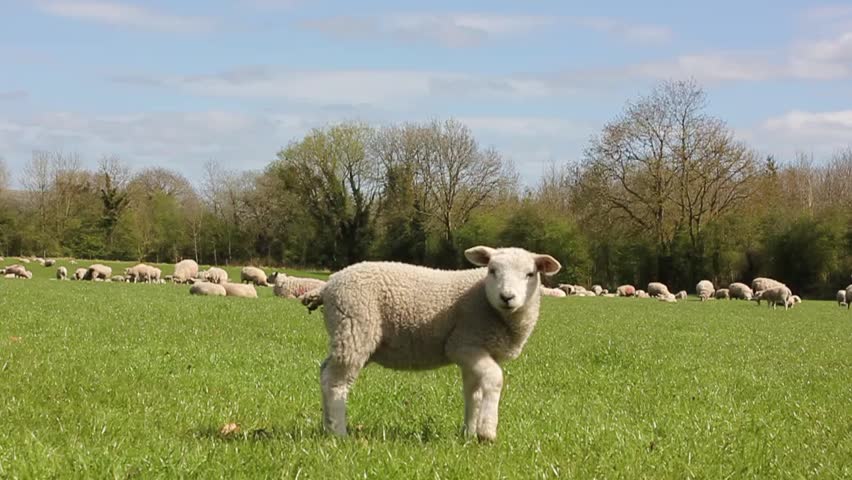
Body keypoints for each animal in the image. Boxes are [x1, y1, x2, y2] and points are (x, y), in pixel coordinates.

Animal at [299, 246, 561, 440]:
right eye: (492, 270)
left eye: (530, 274)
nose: (507, 297)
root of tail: (328, 285)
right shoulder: (463, 344)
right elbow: (495, 379)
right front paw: (486, 431)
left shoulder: (476, 351)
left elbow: (473, 392)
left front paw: (469, 433)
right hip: (355, 327)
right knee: (335, 382)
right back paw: (339, 433)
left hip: (348, 333)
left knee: (325, 371)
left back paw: (327, 426)